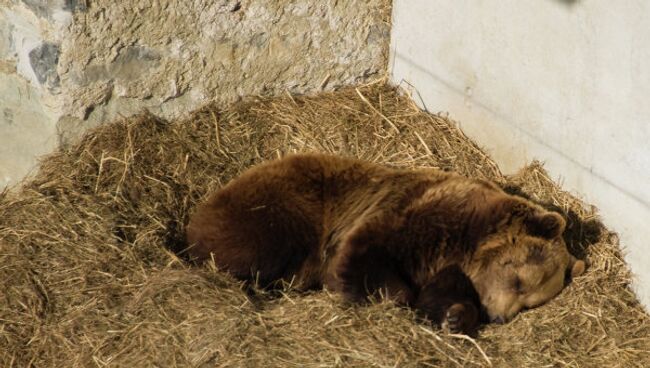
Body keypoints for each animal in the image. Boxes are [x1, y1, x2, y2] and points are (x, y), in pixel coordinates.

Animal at [185, 152, 584, 334]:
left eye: (530, 302)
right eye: (518, 282)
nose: (499, 316)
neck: (467, 242)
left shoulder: (448, 266)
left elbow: (439, 297)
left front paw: (455, 316)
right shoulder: (412, 219)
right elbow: (365, 257)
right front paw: (379, 295)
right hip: (281, 208)